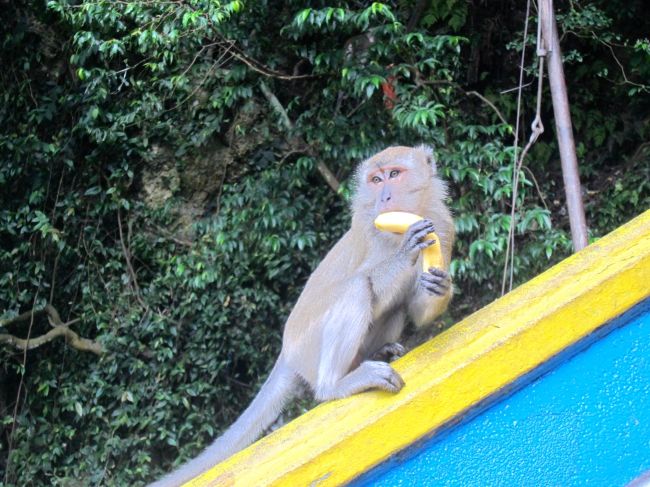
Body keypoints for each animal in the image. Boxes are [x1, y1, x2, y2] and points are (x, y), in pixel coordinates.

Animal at [151, 145, 454, 486]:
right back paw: (335, 385)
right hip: (309, 348)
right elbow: (370, 284)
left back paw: (376, 353)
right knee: (355, 289)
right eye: (376, 179)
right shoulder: (371, 234)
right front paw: (404, 253)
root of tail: (288, 351)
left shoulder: (443, 226)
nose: (384, 197)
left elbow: (416, 307)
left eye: (394, 174)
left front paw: (440, 287)